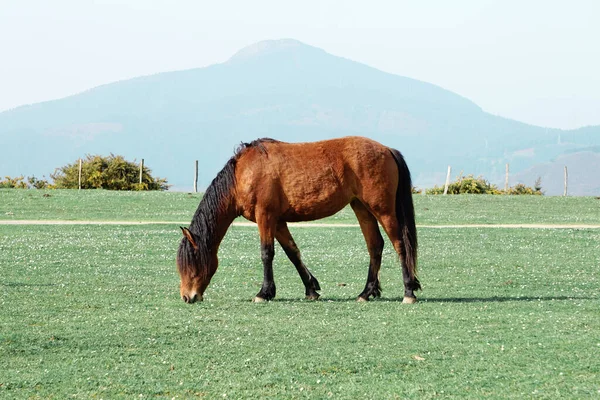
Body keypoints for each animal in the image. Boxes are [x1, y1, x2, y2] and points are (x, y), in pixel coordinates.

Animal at [178, 137, 420, 304]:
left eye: (192, 261)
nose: (187, 297)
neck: (243, 174)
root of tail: (387, 149)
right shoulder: (278, 222)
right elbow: (293, 252)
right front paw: (311, 289)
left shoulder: (265, 217)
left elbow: (267, 254)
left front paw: (264, 293)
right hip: (361, 207)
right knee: (375, 246)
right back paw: (366, 292)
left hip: (383, 210)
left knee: (399, 245)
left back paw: (408, 291)